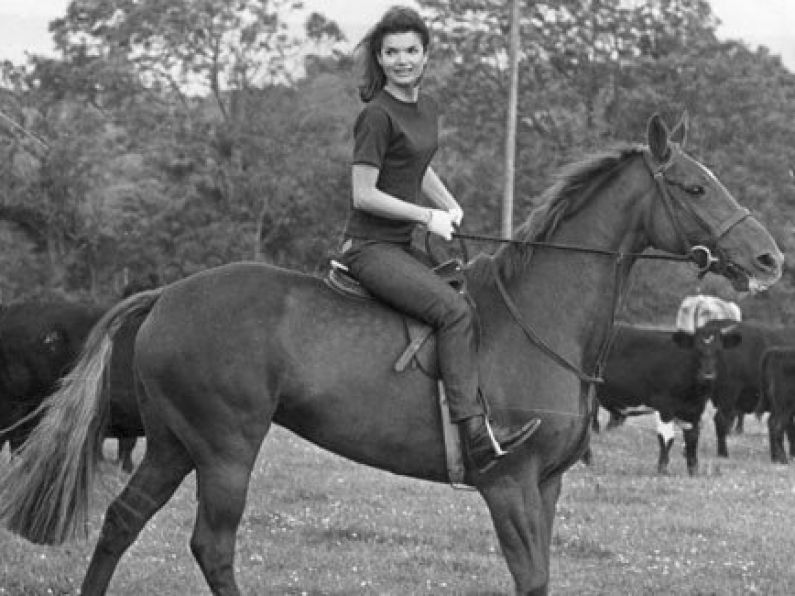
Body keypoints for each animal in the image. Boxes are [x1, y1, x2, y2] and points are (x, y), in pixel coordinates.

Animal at [600, 322, 744, 474]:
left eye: (719, 350)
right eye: (696, 350)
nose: (708, 375)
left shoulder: (694, 410)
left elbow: (692, 439)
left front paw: (693, 471)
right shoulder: (664, 406)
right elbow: (666, 438)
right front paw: (662, 469)